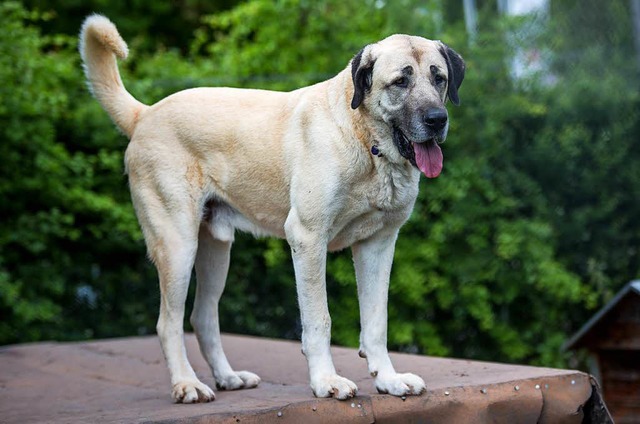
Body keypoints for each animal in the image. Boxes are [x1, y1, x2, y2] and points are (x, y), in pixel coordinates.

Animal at [80, 14, 464, 402]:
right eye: (401, 81)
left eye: (439, 78)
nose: (437, 119)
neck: (366, 141)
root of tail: (145, 114)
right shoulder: (308, 238)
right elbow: (318, 320)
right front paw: (326, 381)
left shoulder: (379, 244)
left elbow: (376, 322)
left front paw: (388, 379)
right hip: (178, 245)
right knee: (167, 323)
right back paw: (187, 384)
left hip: (215, 251)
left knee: (202, 317)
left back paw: (227, 376)